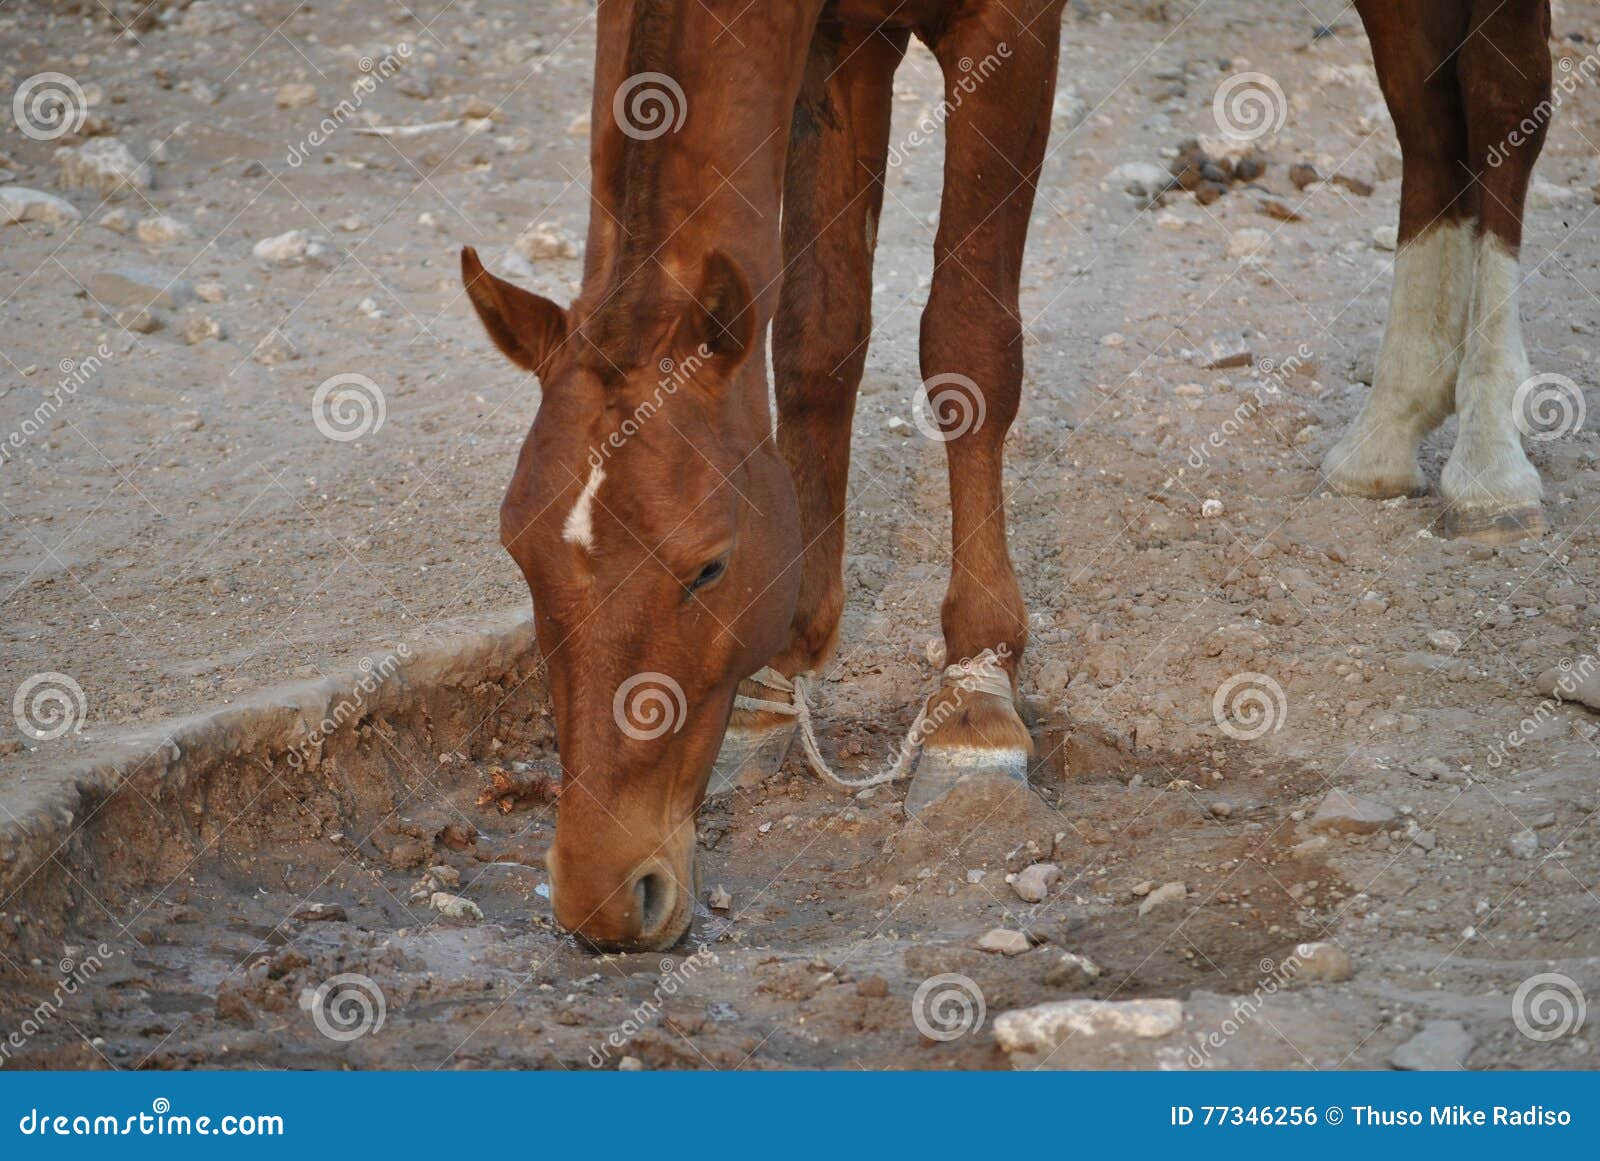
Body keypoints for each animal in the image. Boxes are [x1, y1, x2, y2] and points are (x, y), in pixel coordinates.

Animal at [460, 0, 1556, 952]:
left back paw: (1488, 462)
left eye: (708, 567)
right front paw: (781, 679)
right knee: (1426, 110)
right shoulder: (837, 40)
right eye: (520, 555)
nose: (605, 892)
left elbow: (967, 340)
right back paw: (1389, 427)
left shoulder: (1007, 26)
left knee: (1503, 95)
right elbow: (818, 336)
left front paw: (977, 690)